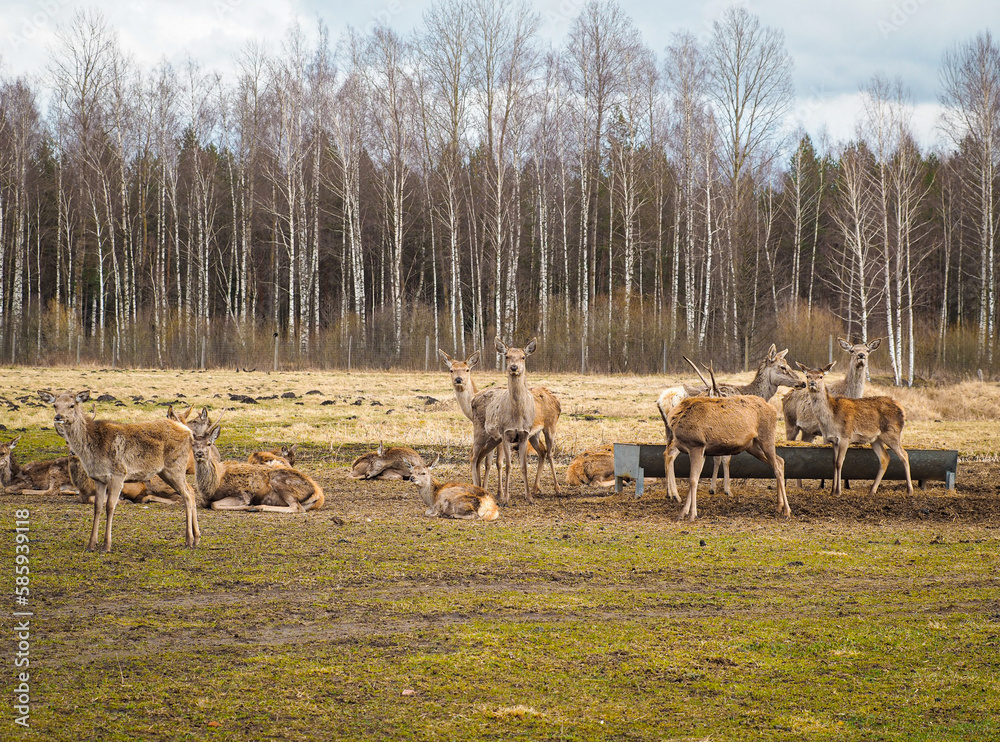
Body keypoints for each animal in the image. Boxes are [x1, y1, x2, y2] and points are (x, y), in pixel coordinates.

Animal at [38, 390, 200, 552]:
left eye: (72, 405)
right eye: (55, 405)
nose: (58, 417)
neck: (93, 449)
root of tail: (189, 432)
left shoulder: (118, 474)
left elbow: (110, 506)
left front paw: (106, 545)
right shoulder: (99, 479)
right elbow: (97, 506)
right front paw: (91, 544)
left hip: (175, 467)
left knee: (187, 495)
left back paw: (189, 539)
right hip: (165, 472)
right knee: (191, 491)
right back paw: (196, 538)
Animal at [191, 417, 324, 512]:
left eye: (209, 443)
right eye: (192, 444)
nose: (199, 453)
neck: (214, 485)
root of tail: (318, 495)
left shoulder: (242, 495)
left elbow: (214, 504)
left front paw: (248, 506)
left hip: (279, 480)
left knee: (296, 507)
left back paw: (258, 507)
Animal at [439, 348, 561, 497]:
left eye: (467, 369)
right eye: (451, 370)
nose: (458, 379)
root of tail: (555, 399)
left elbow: (497, 462)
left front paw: (499, 491)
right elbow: (487, 462)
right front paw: (486, 488)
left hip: (551, 424)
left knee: (550, 453)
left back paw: (557, 488)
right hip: (534, 434)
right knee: (542, 451)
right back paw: (535, 488)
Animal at [471, 338, 538, 506]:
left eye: (523, 357)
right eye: (507, 356)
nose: (514, 367)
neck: (517, 417)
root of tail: (473, 398)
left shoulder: (524, 435)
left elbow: (524, 466)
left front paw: (530, 497)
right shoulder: (506, 434)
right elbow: (508, 466)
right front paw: (506, 498)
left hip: (493, 438)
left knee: (480, 457)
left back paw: (482, 488)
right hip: (479, 430)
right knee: (473, 456)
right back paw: (476, 488)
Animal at [796, 362, 913, 499]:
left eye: (821, 376)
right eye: (808, 376)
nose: (812, 383)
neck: (831, 419)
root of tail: (902, 410)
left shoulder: (845, 437)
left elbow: (839, 462)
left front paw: (838, 492)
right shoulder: (834, 440)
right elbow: (833, 463)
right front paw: (832, 491)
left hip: (892, 434)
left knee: (904, 455)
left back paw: (909, 490)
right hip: (876, 439)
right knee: (885, 458)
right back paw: (872, 491)